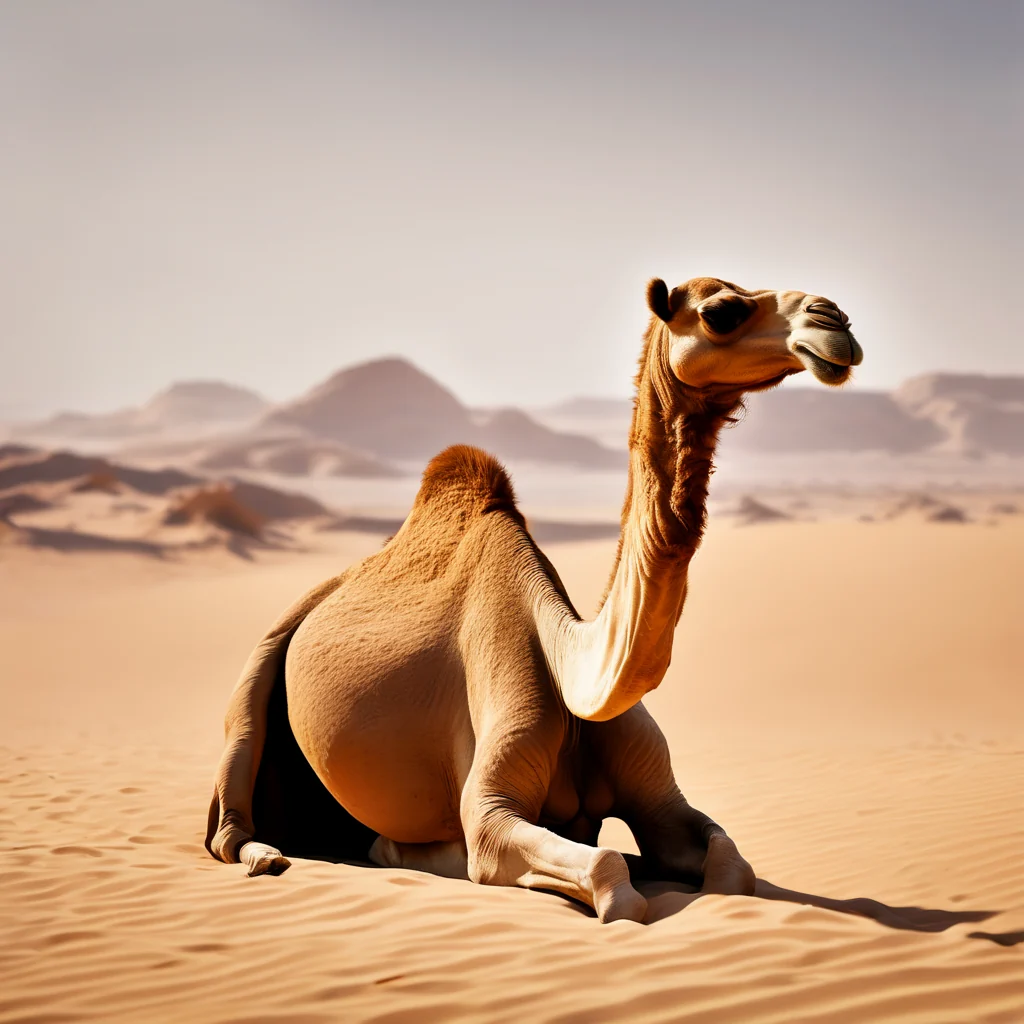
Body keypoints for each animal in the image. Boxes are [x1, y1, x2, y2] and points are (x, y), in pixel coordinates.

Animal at [205, 276, 863, 923]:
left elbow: (730, 865)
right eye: (721, 312)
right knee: (228, 826)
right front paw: (425, 851)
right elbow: (605, 872)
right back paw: (279, 855)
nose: (835, 319)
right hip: (258, 672)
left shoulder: (662, 801)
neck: (571, 670)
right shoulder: (491, 806)